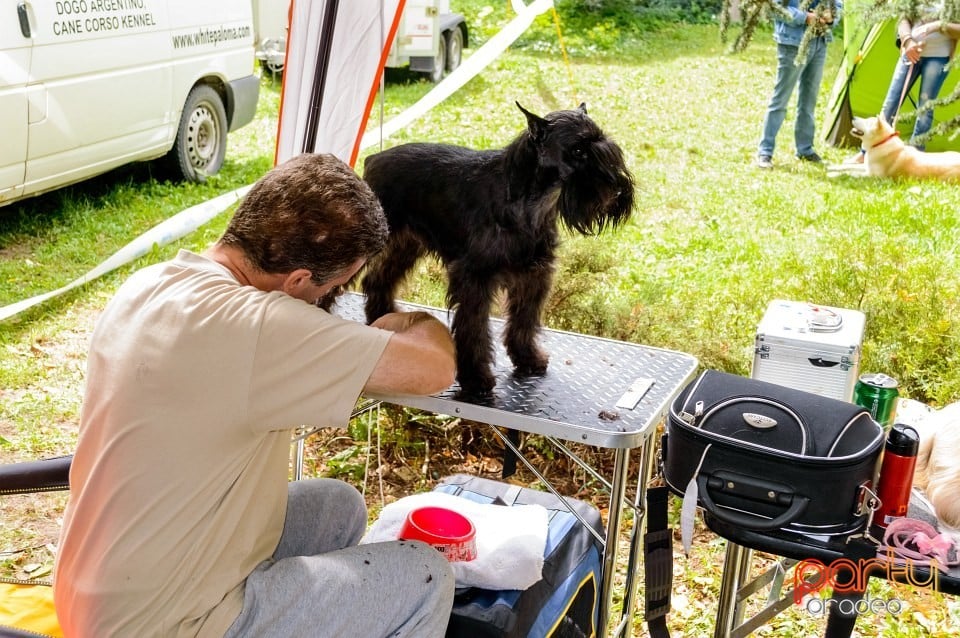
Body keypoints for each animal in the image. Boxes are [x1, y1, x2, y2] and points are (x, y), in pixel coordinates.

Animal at [360, 102, 636, 398]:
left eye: (605, 144)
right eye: (578, 150)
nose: (617, 191)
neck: (531, 201)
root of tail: (373, 159)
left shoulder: (534, 274)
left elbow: (523, 321)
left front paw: (528, 358)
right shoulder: (475, 280)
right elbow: (474, 331)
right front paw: (476, 378)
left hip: (406, 246)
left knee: (378, 279)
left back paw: (382, 316)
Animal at [824, 113, 960, 180]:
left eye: (867, 122)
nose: (853, 117)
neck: (881, 143)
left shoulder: (873, 176)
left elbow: (849, 173)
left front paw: (832, 175)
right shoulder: (866, 167)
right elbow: (847, 167)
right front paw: (832, 167)